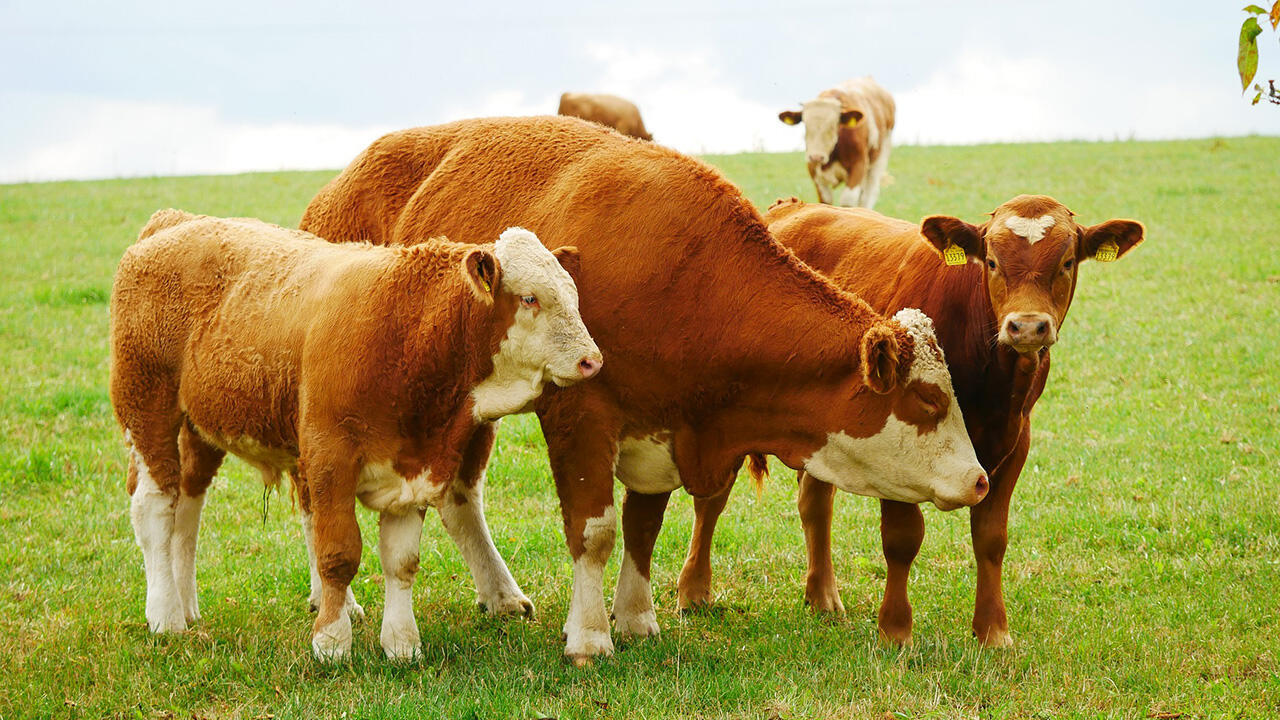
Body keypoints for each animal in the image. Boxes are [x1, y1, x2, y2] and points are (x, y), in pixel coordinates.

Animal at [108, 210, 599, 661]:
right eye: (530, 298)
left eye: (573, 296)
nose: (592, 360)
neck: (407, 333)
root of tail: (174, 221)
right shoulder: (330, 458)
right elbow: (338, 554)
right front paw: (331, 642)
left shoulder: (413, 465)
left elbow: (401, 561)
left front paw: (401, 643)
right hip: (147, 406)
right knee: (156, 506)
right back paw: (166, 616)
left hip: (200, 427)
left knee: (187, 506)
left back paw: (186, 604)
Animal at [299, 116, 988, 661]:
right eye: (928, 400)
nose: (980, 480)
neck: (692, 281)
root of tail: (335, 188)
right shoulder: (580, 416)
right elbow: (596, 530)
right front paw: (590, 635)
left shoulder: (662, 425)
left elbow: (644, 526)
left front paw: (635, 617)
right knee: (315, 492)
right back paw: (335, 601)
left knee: (460, 496)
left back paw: (500, 593)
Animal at [680, 194, 1152, 645]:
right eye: (992, 261)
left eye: (1067, 262)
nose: (1027, 327)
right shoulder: (895, 439)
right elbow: (902, 538)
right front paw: (895, 629)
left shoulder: (1016, 442)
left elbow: (991, 538)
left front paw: (993, 631)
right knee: (712, 500)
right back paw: (694, 591)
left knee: (814, 503)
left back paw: (823, 595)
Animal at [773, 76, 896, 208]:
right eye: (805, 124)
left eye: (833, 126)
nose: (816, 157)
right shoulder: (815, 173)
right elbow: (825, 201)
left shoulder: (859, 165)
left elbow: (848, 200)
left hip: (879, 159)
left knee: (868, 195)